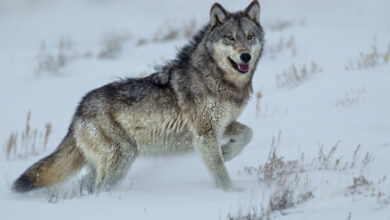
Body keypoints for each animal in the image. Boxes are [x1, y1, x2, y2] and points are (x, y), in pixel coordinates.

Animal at [14, 0, 266, 192]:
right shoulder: (205, 134)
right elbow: (220, 171)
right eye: (230, 38)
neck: (218, 79)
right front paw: (231, 193)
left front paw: (228, 152)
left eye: (250, 37)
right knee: (98, 188)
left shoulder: (222, 125)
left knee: (86, 184)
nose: (245, 56)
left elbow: (249, 133)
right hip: (121, 158)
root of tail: (79, 110)